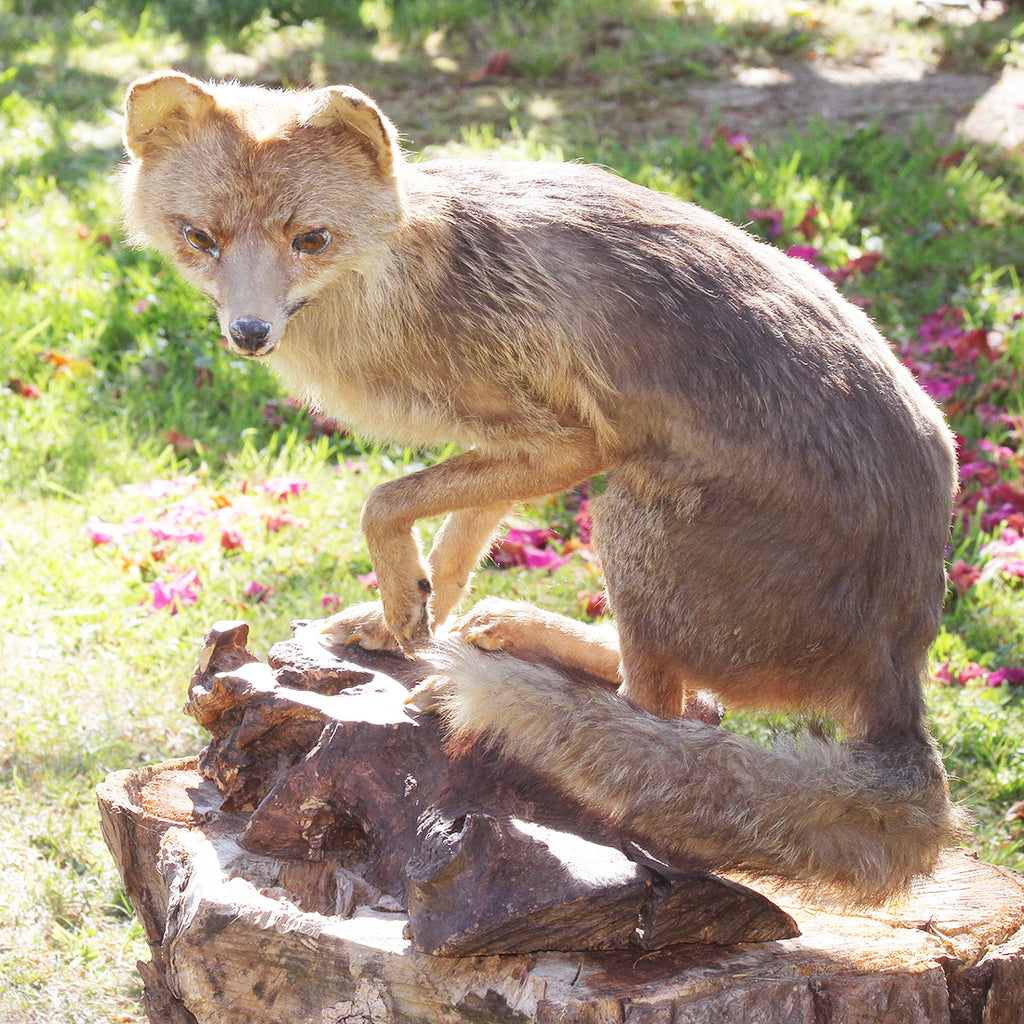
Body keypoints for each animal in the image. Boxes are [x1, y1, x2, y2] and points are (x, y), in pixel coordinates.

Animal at [121, 71, 964, 905]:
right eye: (201, 238)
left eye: (311, 240)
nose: (249, 333)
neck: (400, 280)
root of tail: (903, 660)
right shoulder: (506, 444)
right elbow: (454, 544)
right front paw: (406, 618)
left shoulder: (573, 445)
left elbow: (382, 502)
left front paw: (402, 603)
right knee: (688, 708)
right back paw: (511, 633)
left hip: (626, 515)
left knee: (658, 714)